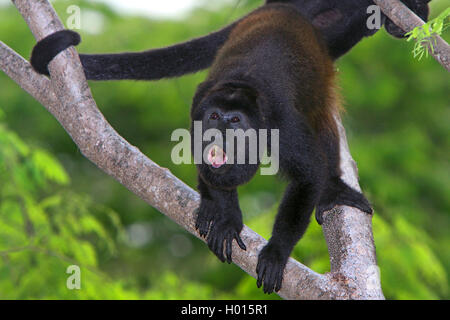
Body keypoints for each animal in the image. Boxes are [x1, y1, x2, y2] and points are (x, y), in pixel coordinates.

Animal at [188, 3, 370, 294]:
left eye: (235, 120)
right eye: (214, 116)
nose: (218, 130)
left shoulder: (283, 121)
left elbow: (309, 173)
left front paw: (276, 251)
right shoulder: (198, 106)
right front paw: (227, 219)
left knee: (322, 120)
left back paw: (333, 188)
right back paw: (208, 206)